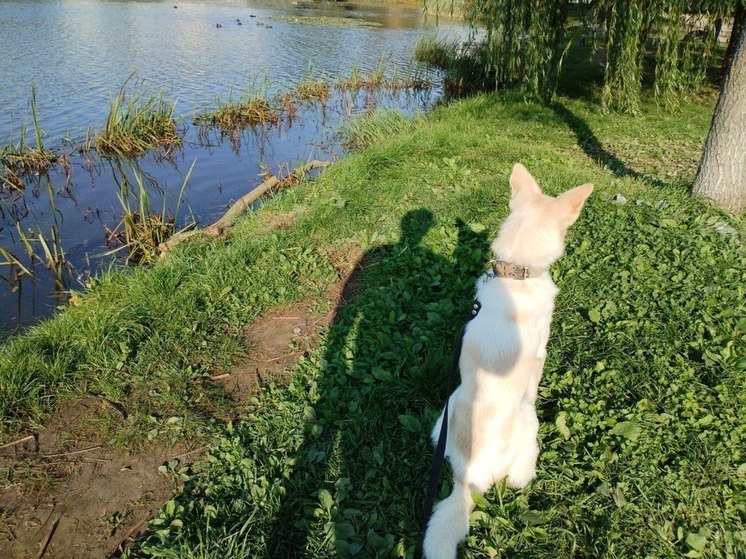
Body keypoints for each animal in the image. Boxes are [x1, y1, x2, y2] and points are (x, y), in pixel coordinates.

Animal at [422, 163, 588, 559]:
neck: (517, 271)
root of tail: (466, 481)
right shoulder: (541, 350)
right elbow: (537, 376)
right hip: (529, 429)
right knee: (519, 479)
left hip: (445, 410)